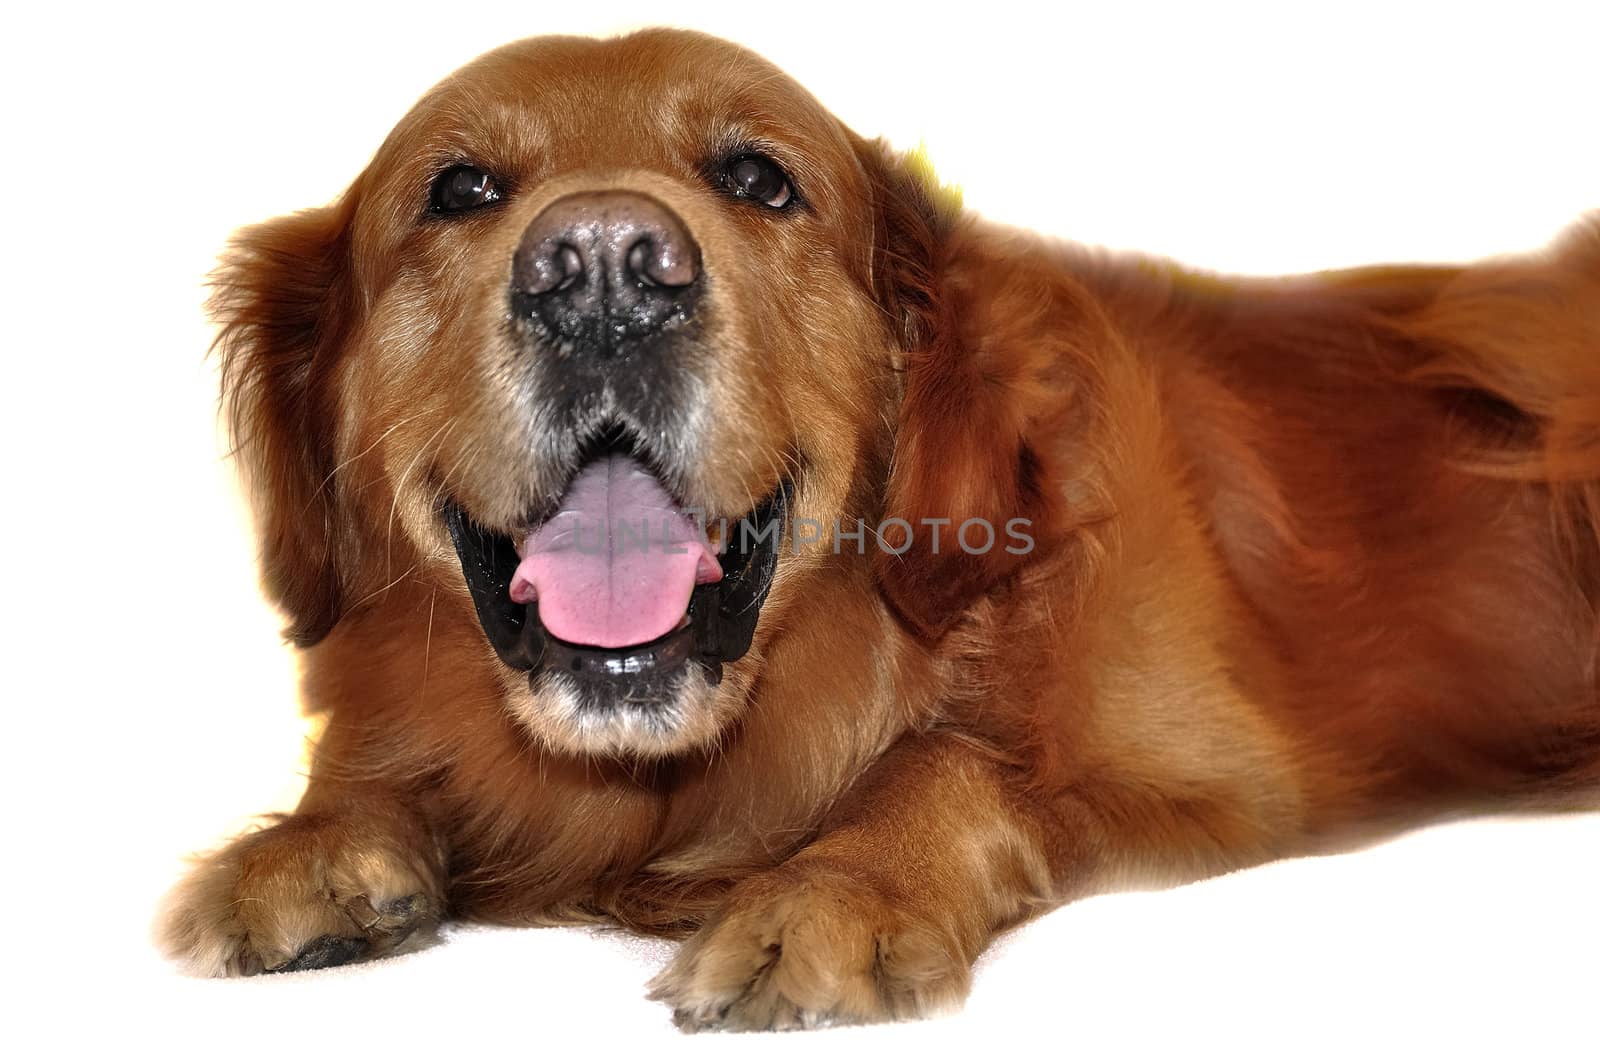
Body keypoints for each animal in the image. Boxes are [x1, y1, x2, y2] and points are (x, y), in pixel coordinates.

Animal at [162, 29, 1600, 1030]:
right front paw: (308, 844)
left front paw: (829, 895)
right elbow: (376, 767)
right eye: (460, 187)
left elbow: (952, 763)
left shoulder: (1200, 773)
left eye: (758, 178)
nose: (606, 267)